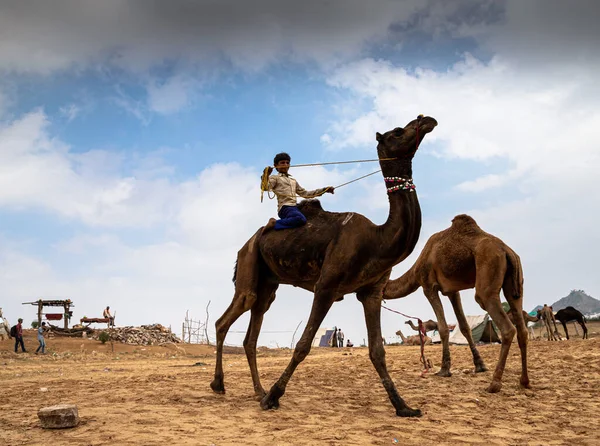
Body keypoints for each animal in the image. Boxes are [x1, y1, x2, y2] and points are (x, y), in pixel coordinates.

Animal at [211, 113, 436, 416]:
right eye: (399, 131)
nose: (426, 120)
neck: (377, 239)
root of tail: (248, 242)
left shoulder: (371, 291)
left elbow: (377, 350)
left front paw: (404, 406)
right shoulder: (327, 286)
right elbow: (303, 344)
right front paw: (274, 397)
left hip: (268, 284)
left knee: (252, 333)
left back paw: (257, 390)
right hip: (250, 263)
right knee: (227, 318)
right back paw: (220, 385)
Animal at [384, 214, 528, 392]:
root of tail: (506, 251)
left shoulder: (429, 286)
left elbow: (444, 328)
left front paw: (444, 370)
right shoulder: (453, 291)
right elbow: (464, 326)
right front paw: (480, 366)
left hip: (488, 275)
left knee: (506, 326)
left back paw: (494, 384)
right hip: (516, 283)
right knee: (522, 327)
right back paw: (524, 381)